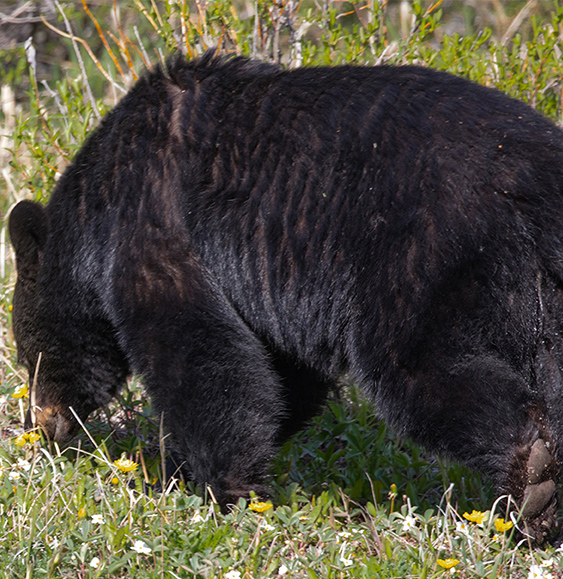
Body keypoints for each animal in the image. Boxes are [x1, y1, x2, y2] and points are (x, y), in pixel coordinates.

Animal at [8, 53, 563, 544]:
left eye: (25, 354)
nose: (42, 425)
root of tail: (534, 181)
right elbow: (281, 374)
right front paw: (184, 466)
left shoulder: (150, 213)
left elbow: (192, 343)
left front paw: (214, 486)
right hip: (545, 291)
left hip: (425, 253)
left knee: (416, 366)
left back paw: (532, 484)